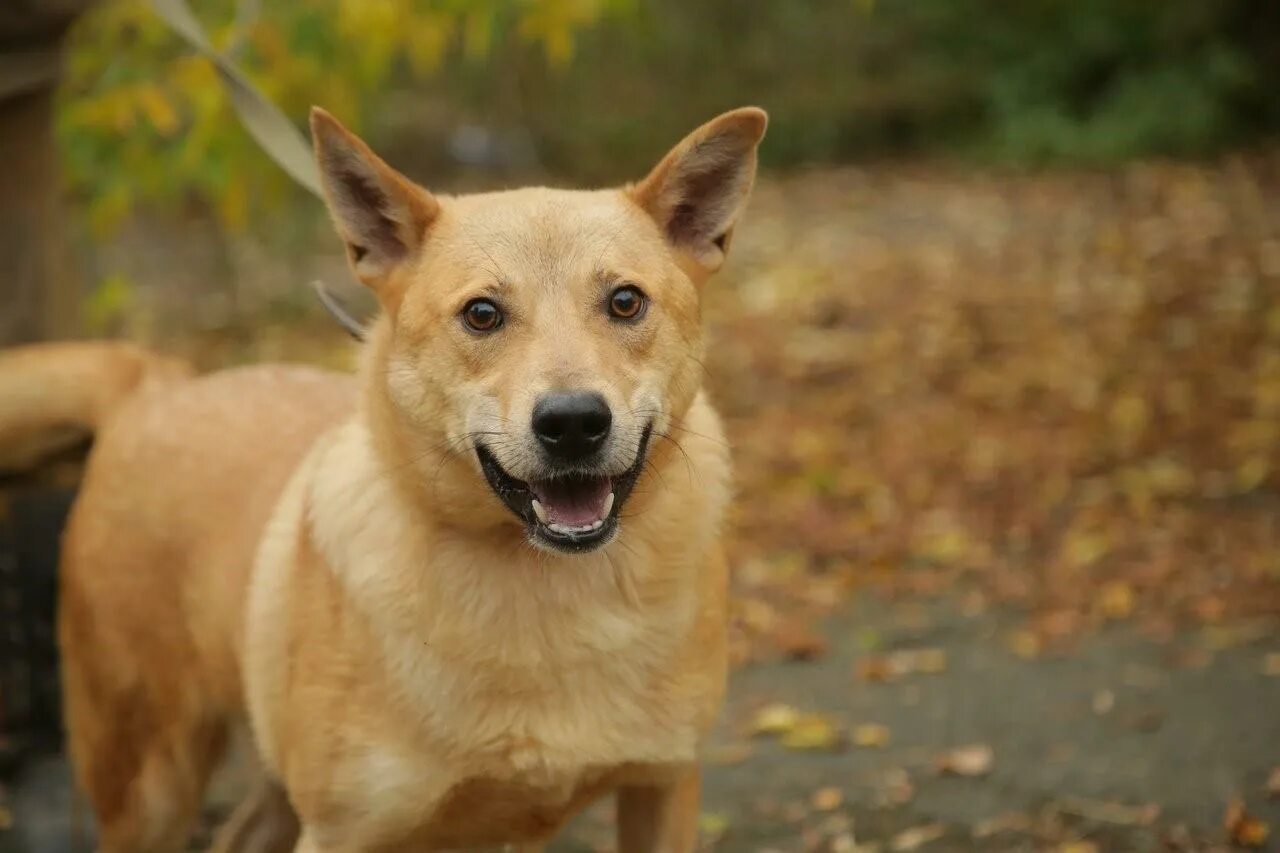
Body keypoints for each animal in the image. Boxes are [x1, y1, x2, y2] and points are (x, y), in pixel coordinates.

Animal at [24, 106, 757, 850]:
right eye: (482, 314)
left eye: (626, 302)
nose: (574, 422)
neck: (544, 590)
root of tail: (157, 388)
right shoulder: (341, 831)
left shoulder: (662, 784)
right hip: (150, 786)